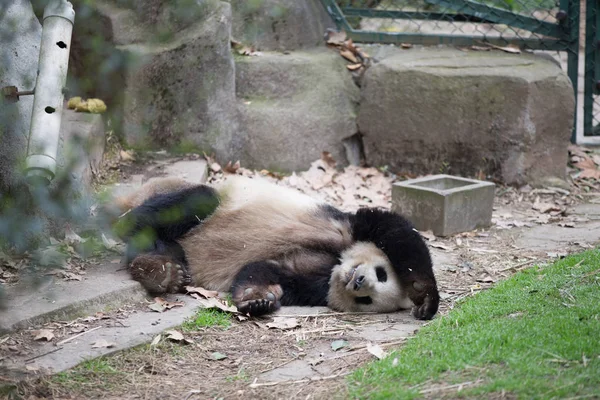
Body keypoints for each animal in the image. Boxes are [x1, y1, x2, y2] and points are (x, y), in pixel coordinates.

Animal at [111, 175, 440, 318]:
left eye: (367, 300)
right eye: (381, 273)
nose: (358, 281)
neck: (336, 262)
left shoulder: (314, 285)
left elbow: (269, 270)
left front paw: (258, 300)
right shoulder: (347, 226)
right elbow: (393, 231)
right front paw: (424, 296)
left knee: (169, 249)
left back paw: (161, 271)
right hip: (188, 196)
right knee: (194, 202)